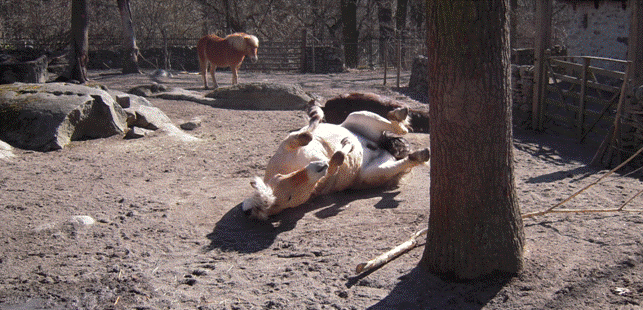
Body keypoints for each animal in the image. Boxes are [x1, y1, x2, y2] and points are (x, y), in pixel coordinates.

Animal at [244, 100, 430, 219]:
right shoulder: (321, 180)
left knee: (397, 127)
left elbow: (306, 135)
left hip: (357, 115)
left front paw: (316, 113)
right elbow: (337, 158)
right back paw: (420, 154)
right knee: (405, 154)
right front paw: (346, 147)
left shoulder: (289, 143)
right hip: (375, 171)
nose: (319, 166)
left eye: (280, 179)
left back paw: (399, 112)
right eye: (289, 199)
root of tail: (382, 147)